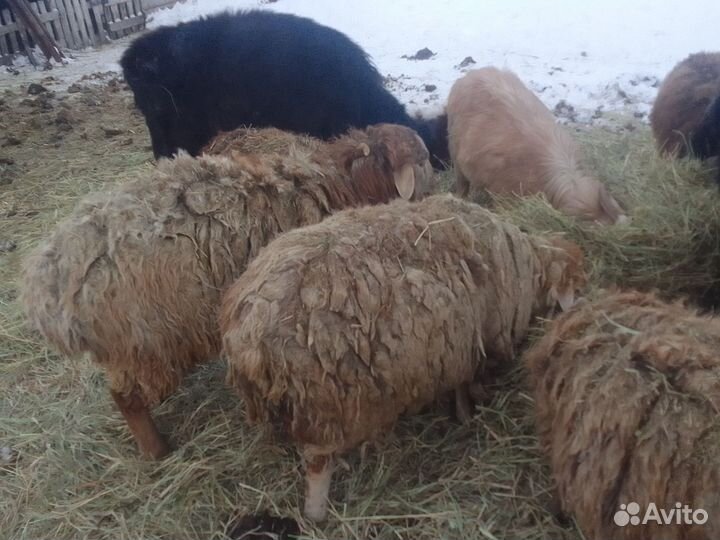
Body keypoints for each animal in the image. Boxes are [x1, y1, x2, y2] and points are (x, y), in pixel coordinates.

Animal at [21, 124, 434, 459]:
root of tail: (52, 281)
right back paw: (157, 451)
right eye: (423, 158)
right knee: (128, 399)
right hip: (147, 344)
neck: (339, 181)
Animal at [220, 194, 586, 521]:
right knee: (316, 468)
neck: (526, 266)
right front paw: (467, 415)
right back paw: (317, 513)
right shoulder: (476, 344)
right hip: (324, 405)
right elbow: (467, 387)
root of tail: (252, 327)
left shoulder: (460, 348)